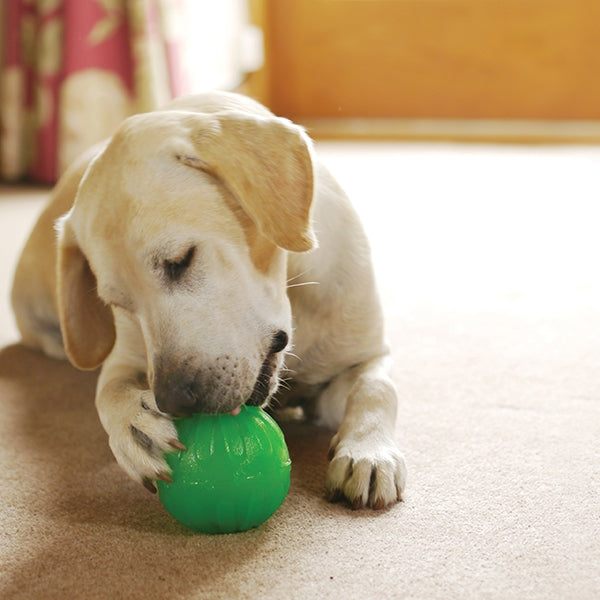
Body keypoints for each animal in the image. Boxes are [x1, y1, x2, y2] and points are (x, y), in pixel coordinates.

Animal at [10, 91, 408, 508]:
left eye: (179, 261)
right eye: (121, 304)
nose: (173, 401)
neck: (292, 293)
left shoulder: (365, 356)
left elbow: (377, 389)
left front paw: (368, 451)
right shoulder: (125, 359)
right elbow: (110, 391)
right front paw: (136, 424)